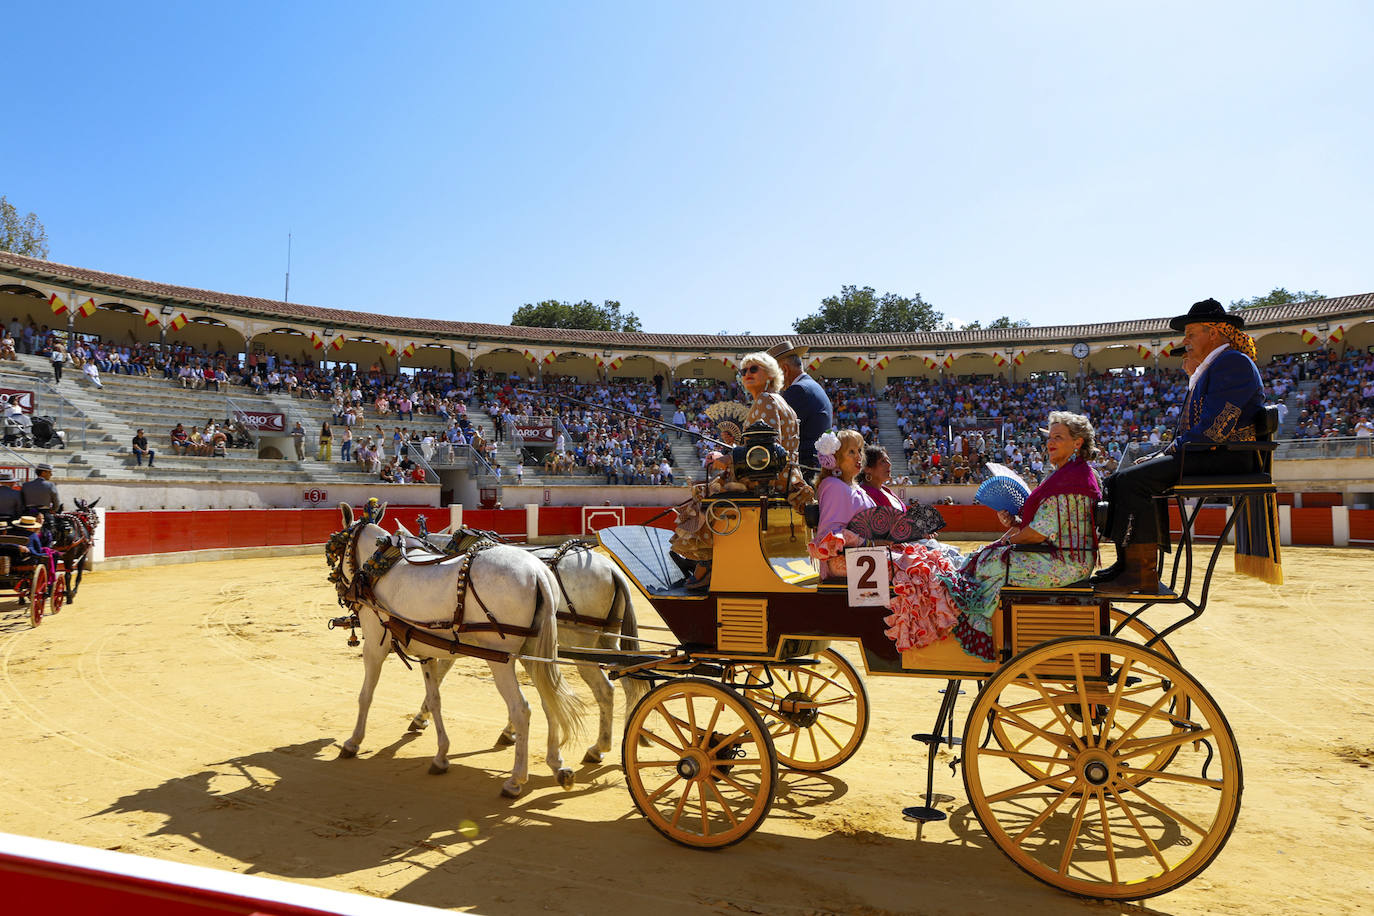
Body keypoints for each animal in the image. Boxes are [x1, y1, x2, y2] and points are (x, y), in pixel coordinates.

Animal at [329, 505, 582, 796]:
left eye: (338, 548)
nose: (340, 589)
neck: (378, 570)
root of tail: (537, 573)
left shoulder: (374, 646)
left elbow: (366, 695)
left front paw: (352, 742)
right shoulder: (425, 651)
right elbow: (434, 699)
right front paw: (440, 756)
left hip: (501, 660)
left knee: (522, 709)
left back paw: (516, 780)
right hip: (535, 653)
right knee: (550, 699)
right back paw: (558, 765)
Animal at [395, 527, 651, 763]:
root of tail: (612, 569)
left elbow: (439, 674)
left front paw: (420, 717)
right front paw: (510, 731)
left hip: (582, 646)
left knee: (605, 689)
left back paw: (599, 748)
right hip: (607, 641)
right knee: (629, 680)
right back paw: (632, 735)